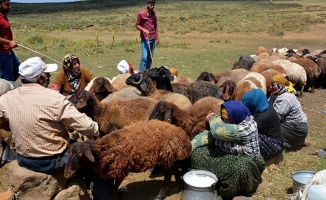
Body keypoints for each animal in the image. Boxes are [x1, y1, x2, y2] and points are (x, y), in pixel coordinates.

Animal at [63, 119, 191, 199]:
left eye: (79, 156)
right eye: (68, 154)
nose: (66, 174)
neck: (103, 151)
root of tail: (182, 135)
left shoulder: (121, 169)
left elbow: (115, 185)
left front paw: (116, 194)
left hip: (164, 157)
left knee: (168, 175)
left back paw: (160, 195)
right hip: (170, 157)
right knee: (175, 171)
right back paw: (177, 187)